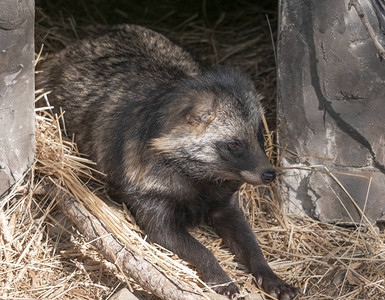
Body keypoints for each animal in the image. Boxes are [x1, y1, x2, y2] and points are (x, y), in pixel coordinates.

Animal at [36, 24, 296, 298]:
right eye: (234, 144)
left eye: (259, 136)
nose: (269, 174)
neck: (197, 180)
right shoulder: (153, 207)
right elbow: (201, 249)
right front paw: (220, 276)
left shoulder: (226, 205)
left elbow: (253, 247)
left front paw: (272, 277)